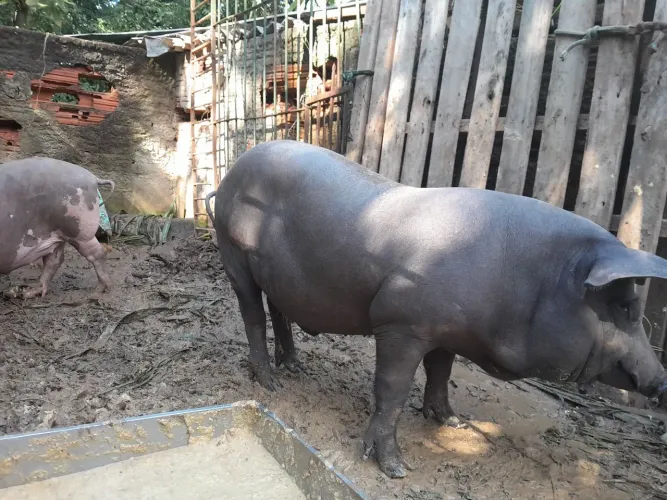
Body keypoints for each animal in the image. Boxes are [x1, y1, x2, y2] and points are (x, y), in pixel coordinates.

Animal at [0, 157, 114, 299]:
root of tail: (93, 178)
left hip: (79, 231)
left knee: (98, 253)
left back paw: (98, 292)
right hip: (58, 234)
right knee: (54, 260)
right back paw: (29, 293)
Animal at [205, 140, 667, 479]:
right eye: (625, 307)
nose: (661, 380)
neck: (524, 278)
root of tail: (231, 173)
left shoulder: (446, 331)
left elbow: (440, 371)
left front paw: (453, 422)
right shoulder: (399, 321)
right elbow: (391, 390)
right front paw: (395, 470)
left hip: (276, 277)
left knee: (279, 312)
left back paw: (296, 368)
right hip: (233, 253)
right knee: (252, 315)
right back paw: (270, 383)